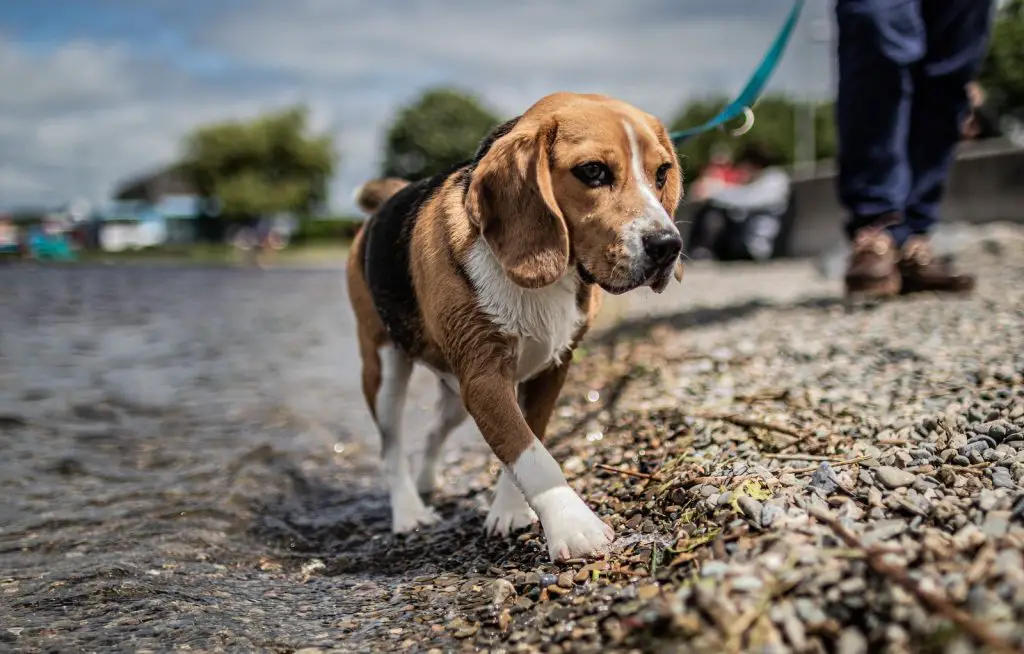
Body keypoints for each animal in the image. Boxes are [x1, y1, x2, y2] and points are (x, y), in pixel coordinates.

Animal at [348, 92, 684, 564]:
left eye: (661, 173)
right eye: (593, 171)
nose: (669, 246)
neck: (552, 279)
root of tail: (388, 200)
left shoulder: (548, 371)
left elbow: (526, 439)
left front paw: (509, 510)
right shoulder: (485, 379)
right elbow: (529, 452)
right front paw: (574, 526)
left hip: (456, 395)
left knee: (432, 432)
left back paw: (428, 482)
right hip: (384, 368)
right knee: (390, 446)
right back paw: (409, 512)